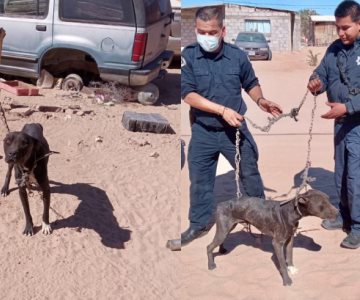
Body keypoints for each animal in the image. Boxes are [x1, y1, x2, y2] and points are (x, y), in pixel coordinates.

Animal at [207, 190, 338, 286]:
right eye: (321, 205)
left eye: (329, 200)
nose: (337, 212)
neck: (290, 211)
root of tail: (221, 204)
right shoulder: (277, 243)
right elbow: (283, 265)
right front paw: (287, 281)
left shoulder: (290, 239)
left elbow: (289, 256)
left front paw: (292, 269)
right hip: (223, 231)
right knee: (209, 246)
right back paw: (211, 265)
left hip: (226, 229)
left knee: (219, 241)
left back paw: (222, 250)